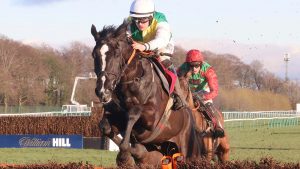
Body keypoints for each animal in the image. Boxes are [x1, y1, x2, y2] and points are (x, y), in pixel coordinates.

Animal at [90, 21, 203, 166]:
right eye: (94, 54)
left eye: (116, 54)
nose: (103, 90)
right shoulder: (114, 113)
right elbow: (106, 128)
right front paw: (129, 156)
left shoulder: (151, 119)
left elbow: (133, 114)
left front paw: (124, 157)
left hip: (188, 150)